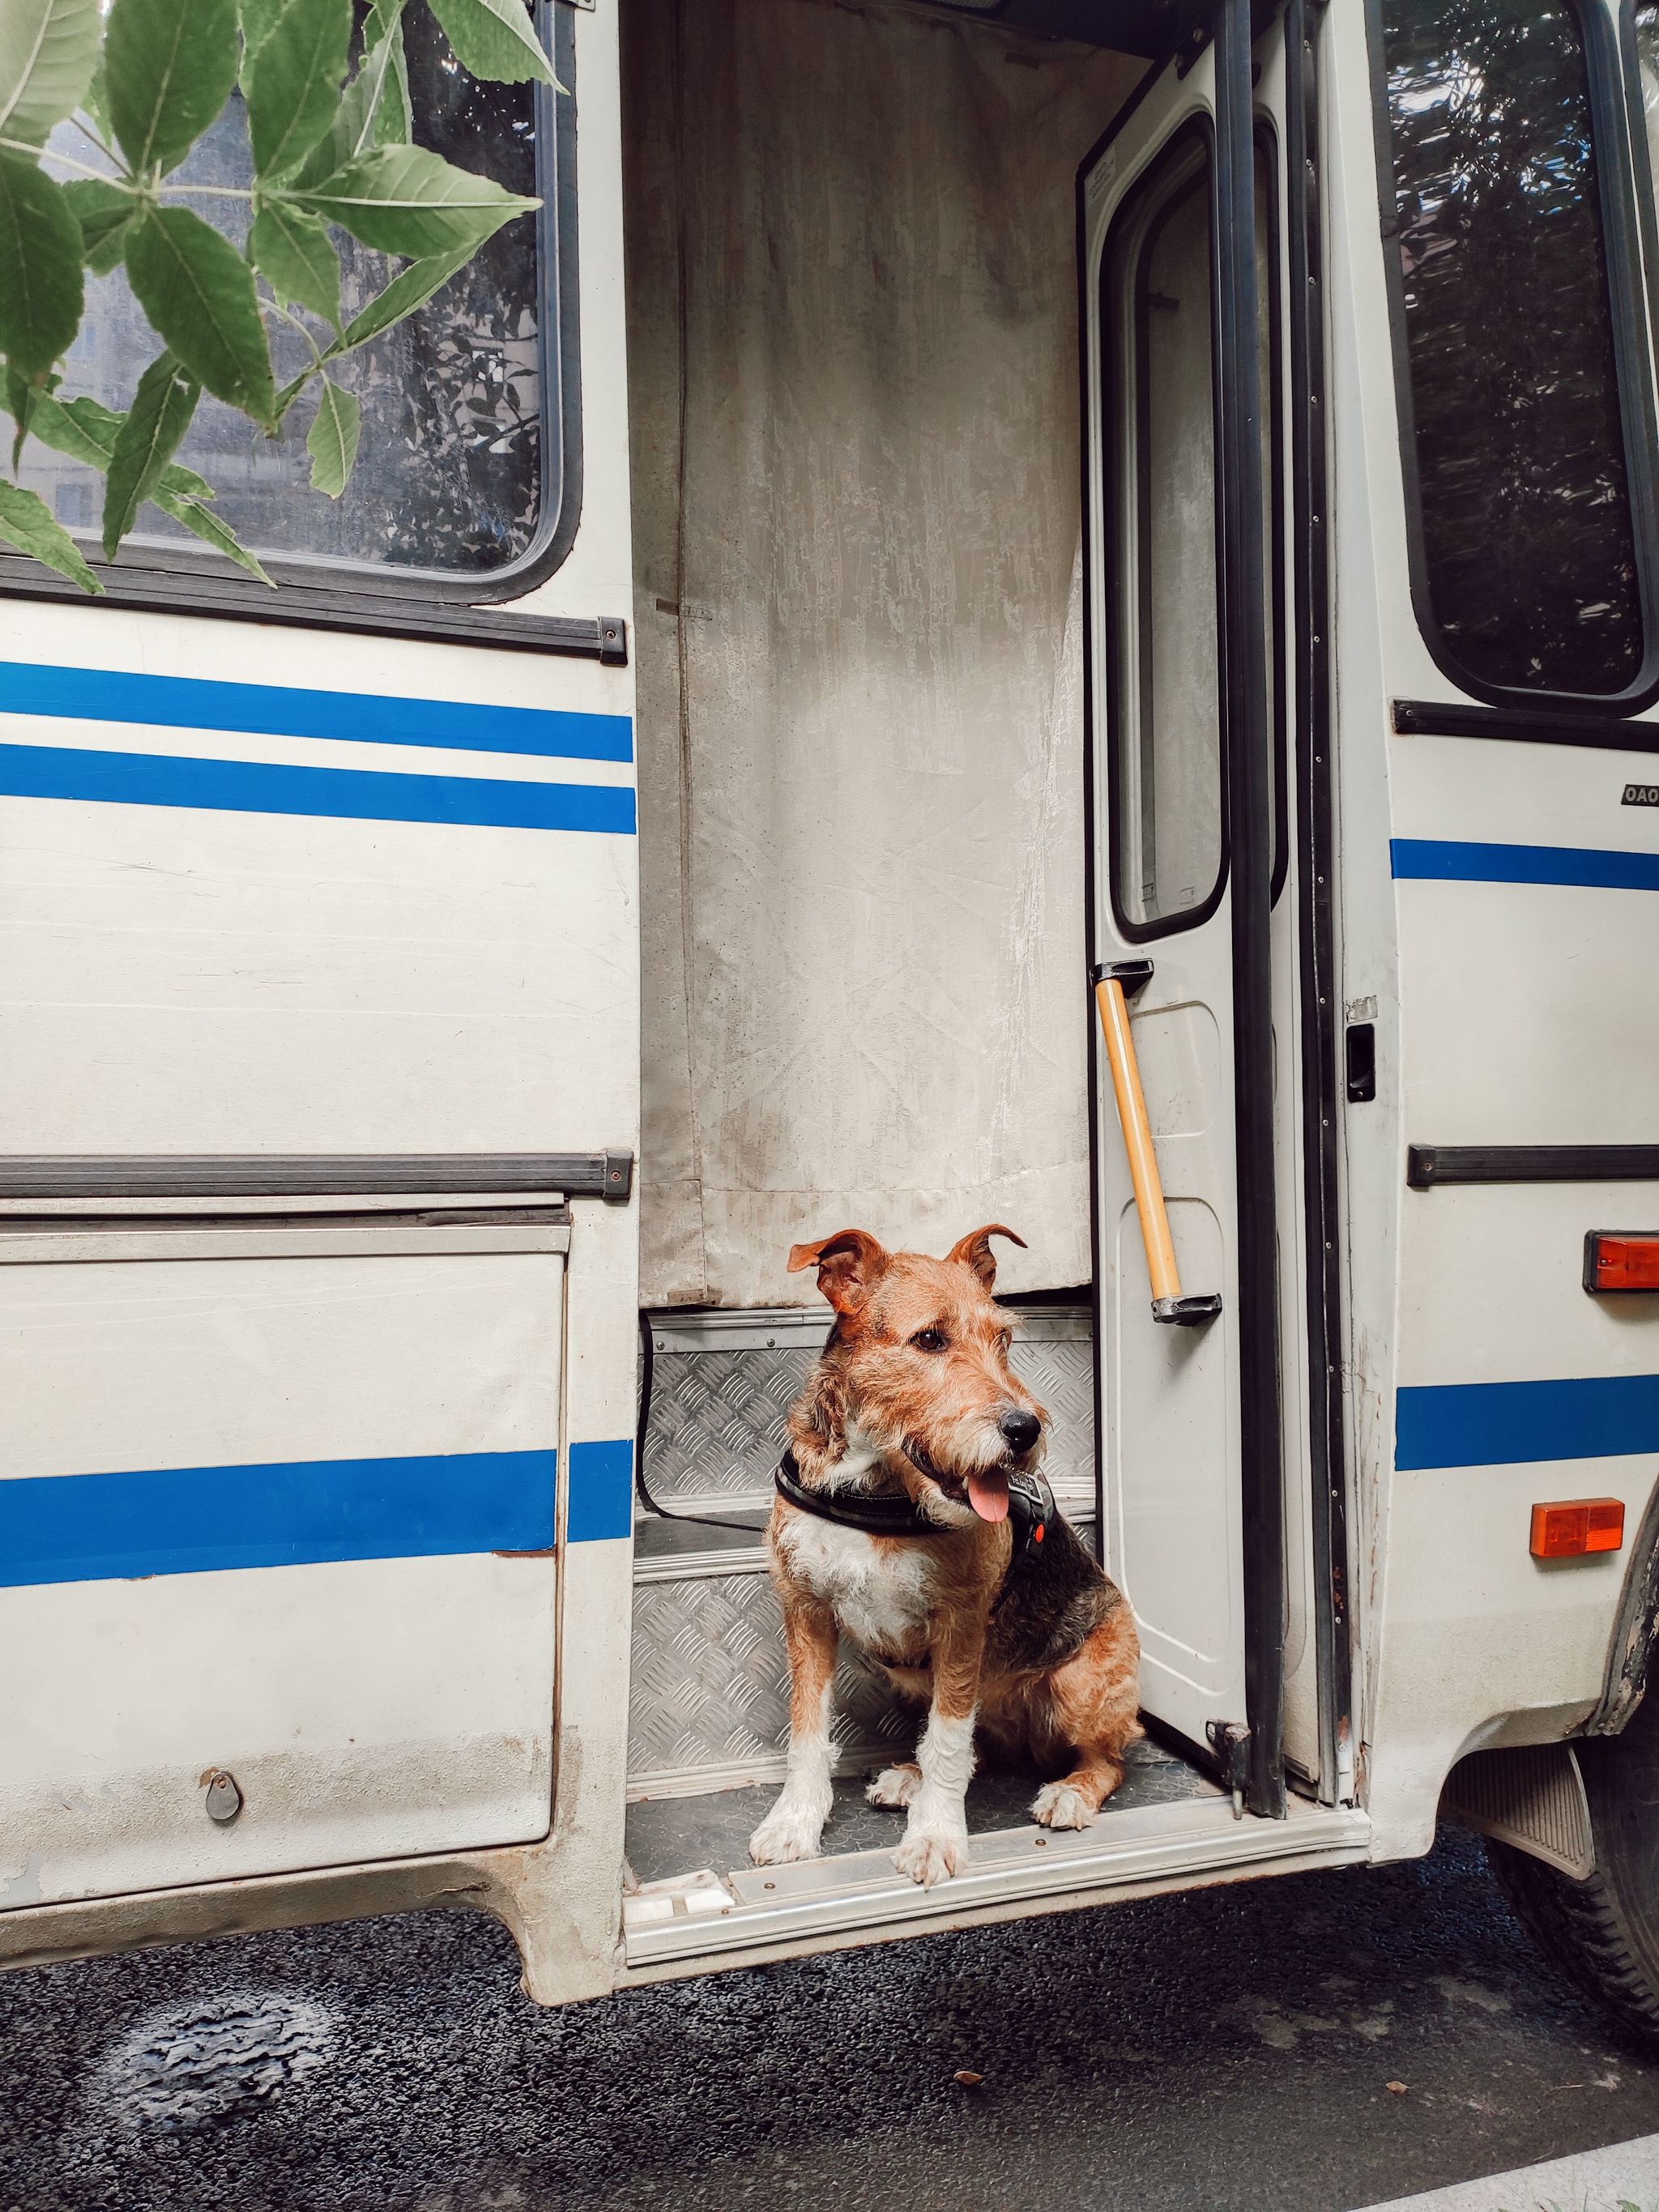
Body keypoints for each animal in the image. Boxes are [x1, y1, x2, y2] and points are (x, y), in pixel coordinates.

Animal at [752, 1230, 1141, 1884]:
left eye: (1004, 1338)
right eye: (930, 1339)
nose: (1025, 1430)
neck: (876, 1488)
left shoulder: (961, 1624)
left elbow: (948, 1741)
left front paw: (934, 1836)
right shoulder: (806, 1611)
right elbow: (808, 1731)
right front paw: (794, 1823)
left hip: (1078, 1683)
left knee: (1109, 1756)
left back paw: (1070, 1792)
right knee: (980, 1746)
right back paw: (909, 1778)